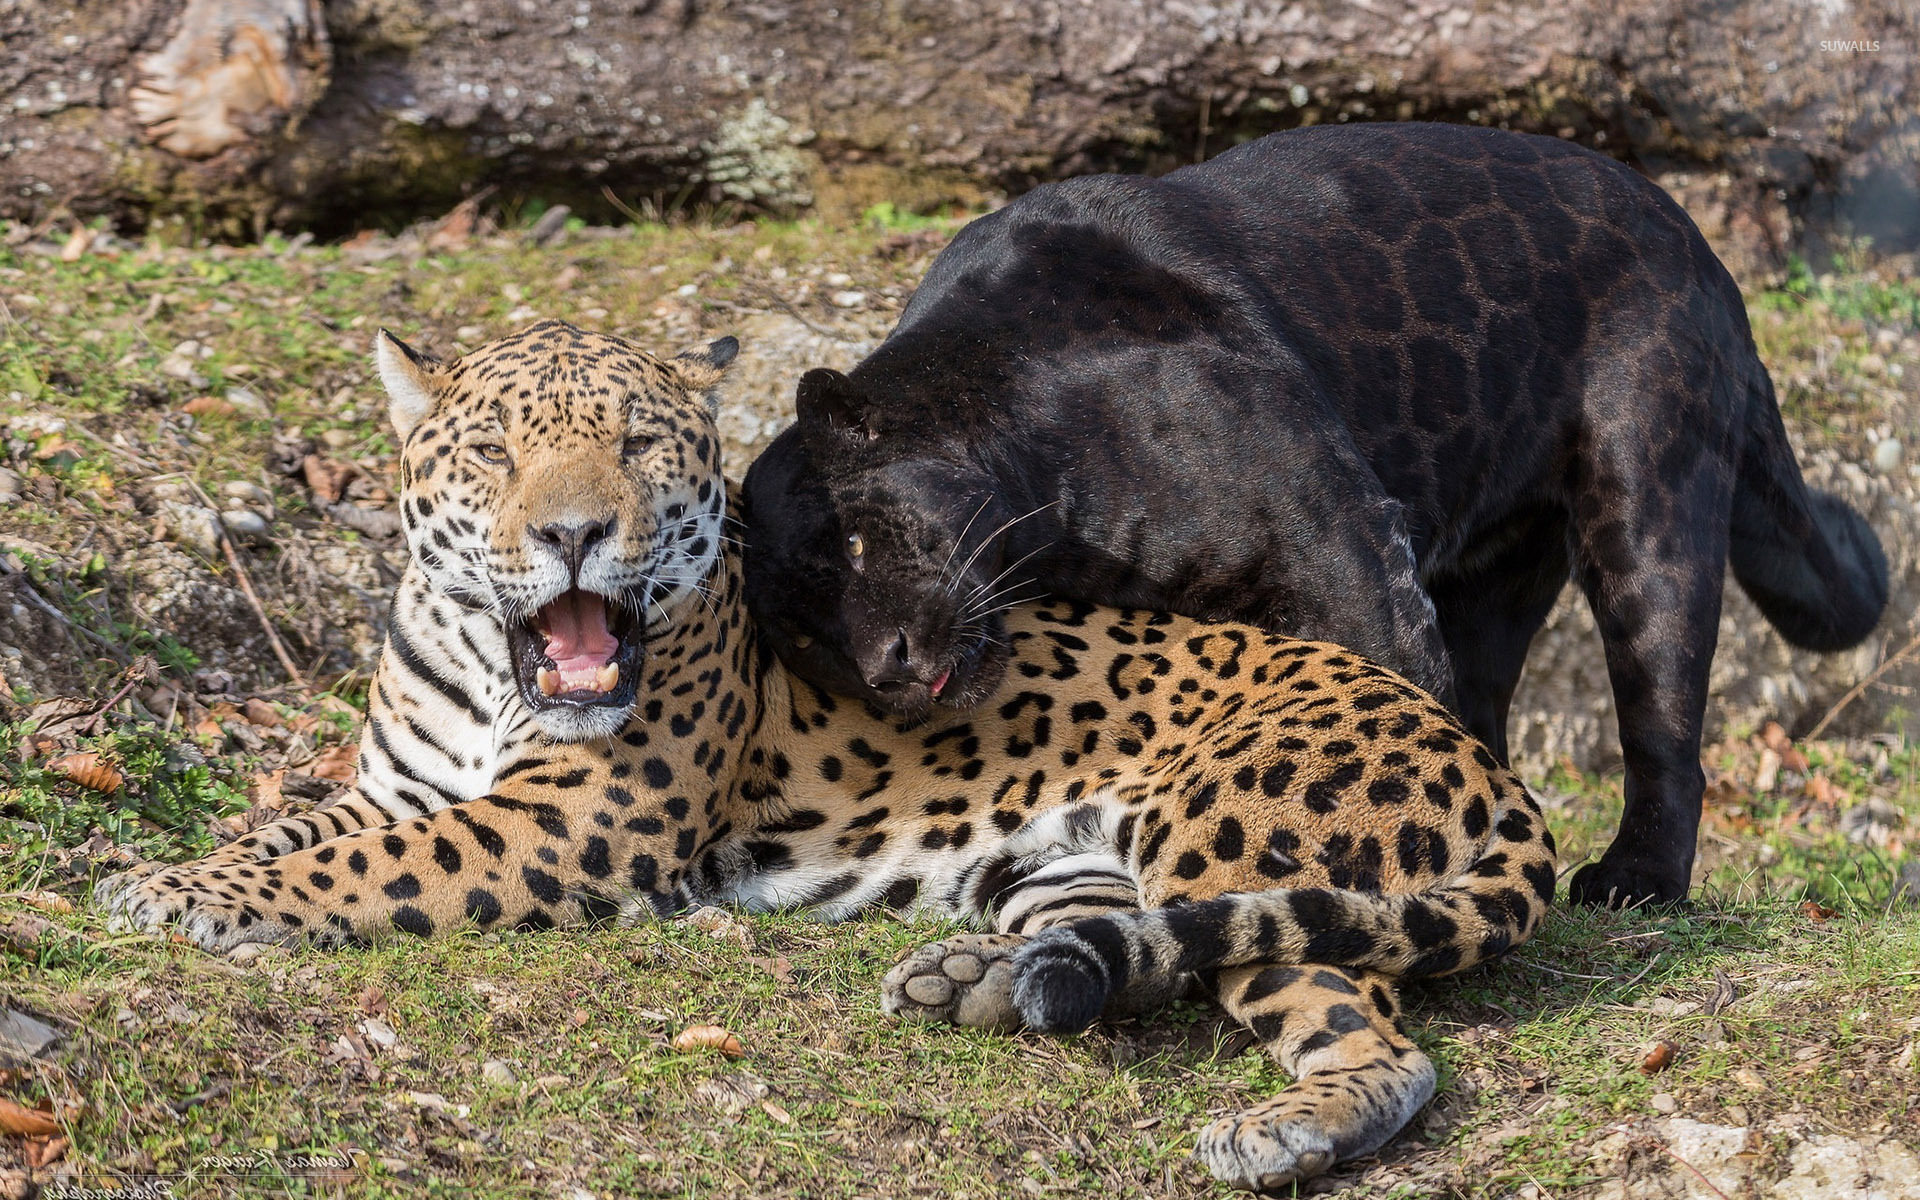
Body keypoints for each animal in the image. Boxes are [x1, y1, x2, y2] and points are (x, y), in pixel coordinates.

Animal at [97, 320, 1557, 1192]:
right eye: (498, 452)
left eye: (636, 445)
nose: (574, 533)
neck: (489, 665)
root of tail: (1485, 759)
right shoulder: (392, 784)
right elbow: (305, 831)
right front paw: (179, 867)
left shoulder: (574, 823)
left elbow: (362, 869)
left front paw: (181, 896)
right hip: (1078, 867)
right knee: (1129, 954)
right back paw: (975, 982)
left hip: (1229, 834)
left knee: (1362, 1021)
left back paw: (1286, 1128)